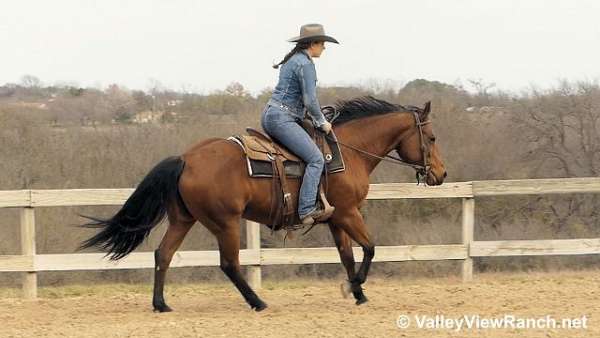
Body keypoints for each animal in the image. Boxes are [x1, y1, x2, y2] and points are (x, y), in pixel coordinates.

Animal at [78, 95, 446, 312]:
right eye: (431, 138)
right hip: (224, 222)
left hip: (184, 219)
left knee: (163, 254)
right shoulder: (348, 212)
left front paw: (357, 293)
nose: (441, 174)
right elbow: (369, 248)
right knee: (228, 264)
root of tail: (186, 158)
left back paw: (161, 304)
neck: (347, 152)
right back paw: (257, 301)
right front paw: (354, 287)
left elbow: (347, 255)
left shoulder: (335, 219)